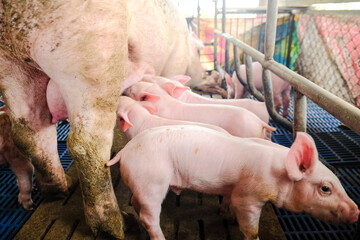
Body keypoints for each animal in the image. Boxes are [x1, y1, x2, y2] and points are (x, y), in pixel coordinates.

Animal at [107, 125, 360, 240]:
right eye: (325, 188)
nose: (357, 212)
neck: (277, 173)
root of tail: (125, 151)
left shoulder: (233, 189)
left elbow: (228, 200)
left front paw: (225, 214)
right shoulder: (249, 196)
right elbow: (250, 226)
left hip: (142, 183)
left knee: (136, 203)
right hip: (152, 181)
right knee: (149, 216)